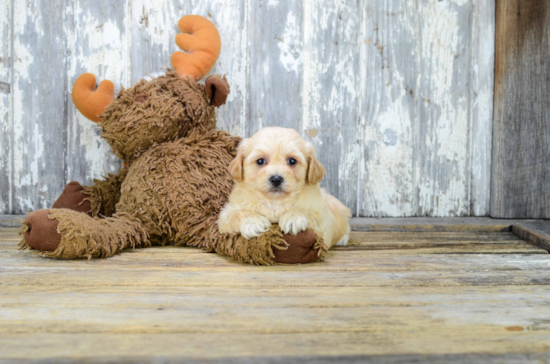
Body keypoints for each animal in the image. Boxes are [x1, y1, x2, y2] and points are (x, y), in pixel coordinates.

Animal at [218, 126, 352, 249]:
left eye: (292, 161)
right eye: (260, 161)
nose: (276, 179)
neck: (275, 201)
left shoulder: (323, 218)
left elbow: (309, 213)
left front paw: (293, 217)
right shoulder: (225, 216)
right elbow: (236, 213)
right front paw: (252, 222)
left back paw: (343, 239)